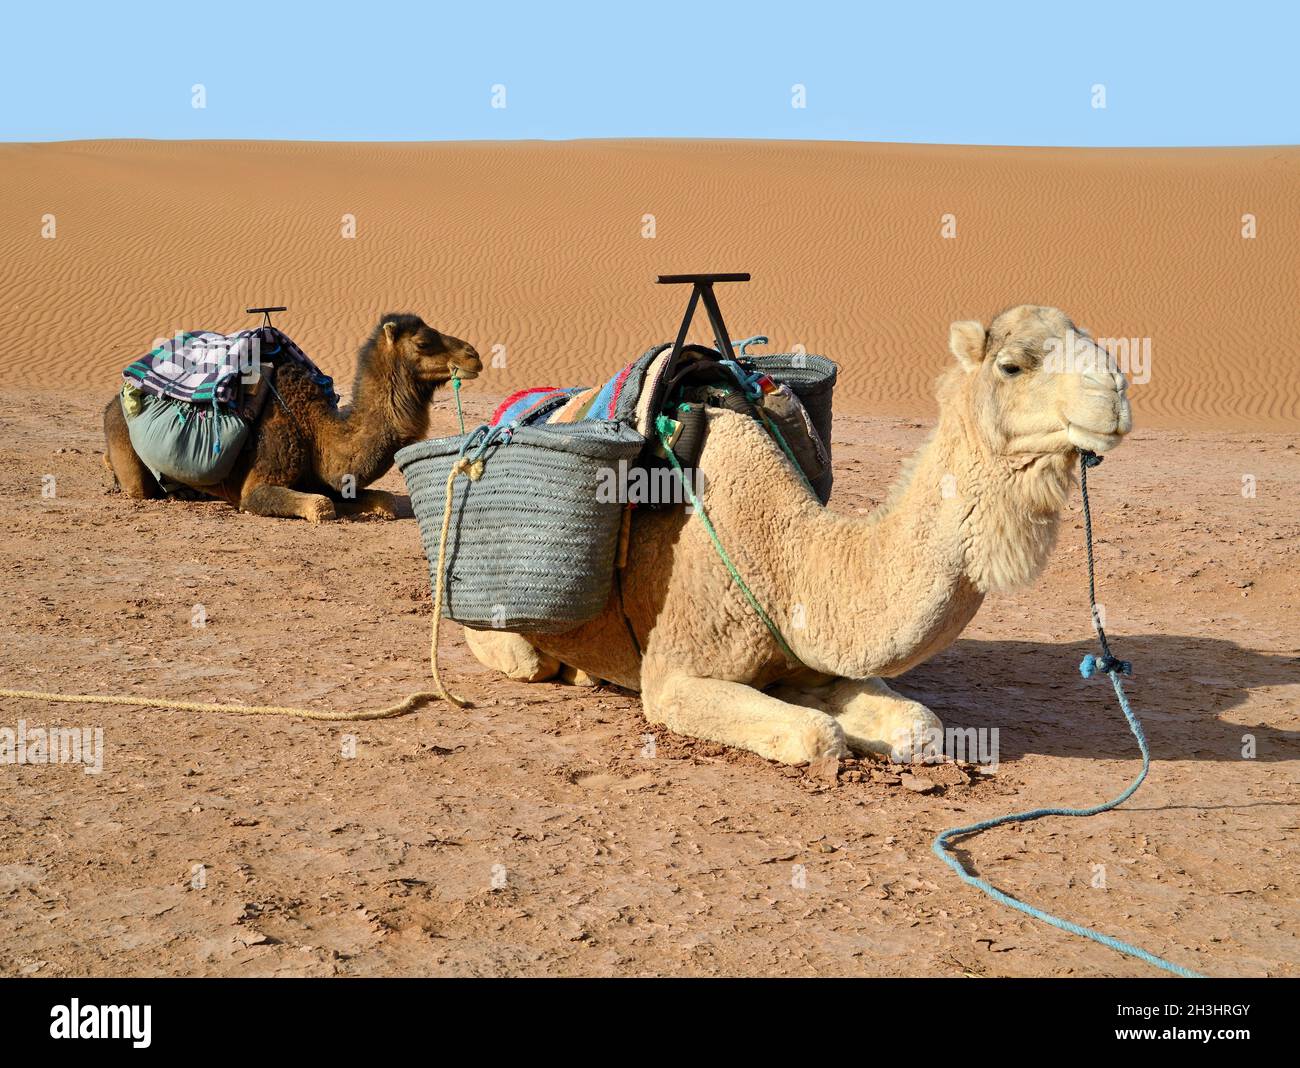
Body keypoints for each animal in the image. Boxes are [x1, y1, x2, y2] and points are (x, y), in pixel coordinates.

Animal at [100, 313, 478, 522]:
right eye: (423, 342)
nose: (473, 355)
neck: (315, 428)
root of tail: (113, 402)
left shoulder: (325, 479)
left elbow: (381, 500)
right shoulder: (259, 482)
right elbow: (321, 507)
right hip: (126, 451)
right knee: (135, 486)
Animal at [465, 305, 1128, 763]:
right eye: (1012, 366)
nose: (1117, 394)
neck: (788, 562)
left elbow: (920, 725)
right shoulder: (673, 677)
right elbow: (818, 736)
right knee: (521, 658)